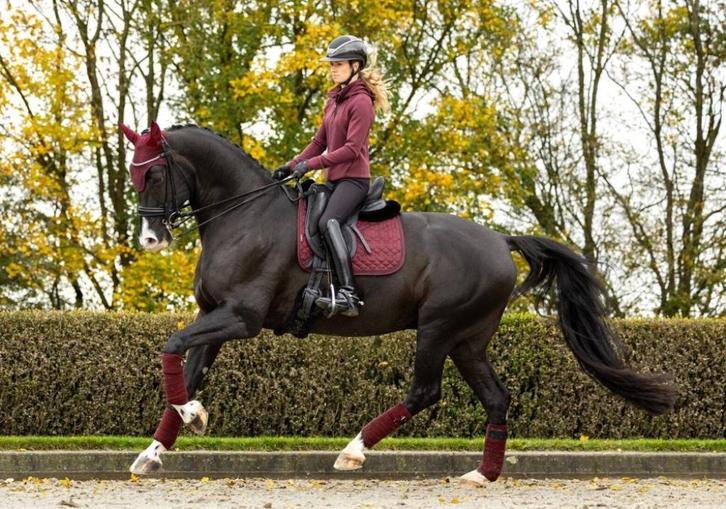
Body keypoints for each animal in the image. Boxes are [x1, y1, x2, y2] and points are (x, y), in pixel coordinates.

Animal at [120, 121, 676, 485]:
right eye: (133, 174)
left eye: (153, 175)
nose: (150, 240)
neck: (244, 216)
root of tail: (500, 240)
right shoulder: (213, 315)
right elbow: (185, 369)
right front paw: (160, 445)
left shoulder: (240, 318)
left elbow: (171, 348)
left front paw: (190, 418)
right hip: (467, 340)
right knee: (496, 398)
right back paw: (482, 475)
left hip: (438, 328)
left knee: (425, 391)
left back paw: (354, 451)